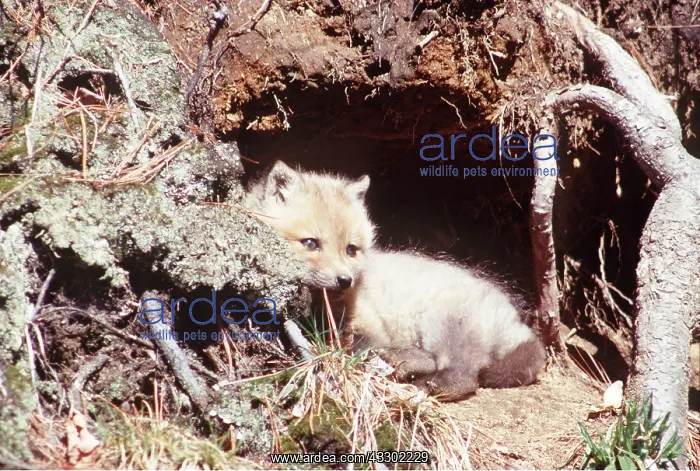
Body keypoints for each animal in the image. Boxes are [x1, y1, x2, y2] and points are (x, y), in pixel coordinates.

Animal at [245, 160, 546, 401]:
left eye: (351, 249)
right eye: (310, 243)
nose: (345, 280)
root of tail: (514, 319)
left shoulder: (368, 325)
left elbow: (360, 347)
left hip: (442, 325)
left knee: (462, 376)